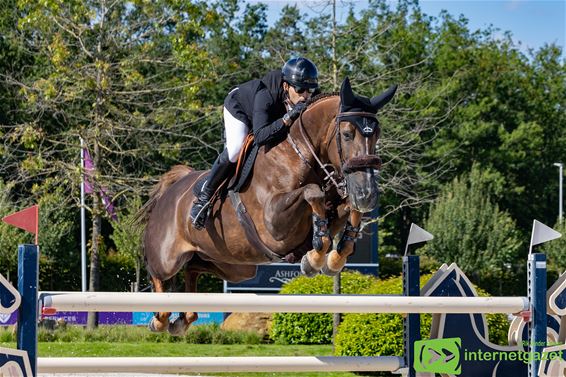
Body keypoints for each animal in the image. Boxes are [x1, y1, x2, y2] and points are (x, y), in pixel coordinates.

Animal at [140, 77, 400, 334]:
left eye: (377, 135)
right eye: (347, 134)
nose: (367, 194)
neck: (299, 155)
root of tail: (173, 189)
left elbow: (347, 208)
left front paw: (335, 256)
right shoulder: (274, 223)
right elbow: (312, 192)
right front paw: (316, 258)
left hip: (234, 265)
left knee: (193, 267)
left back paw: (183, 318)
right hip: (168, 258)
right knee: (156, 271)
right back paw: (160, 318)